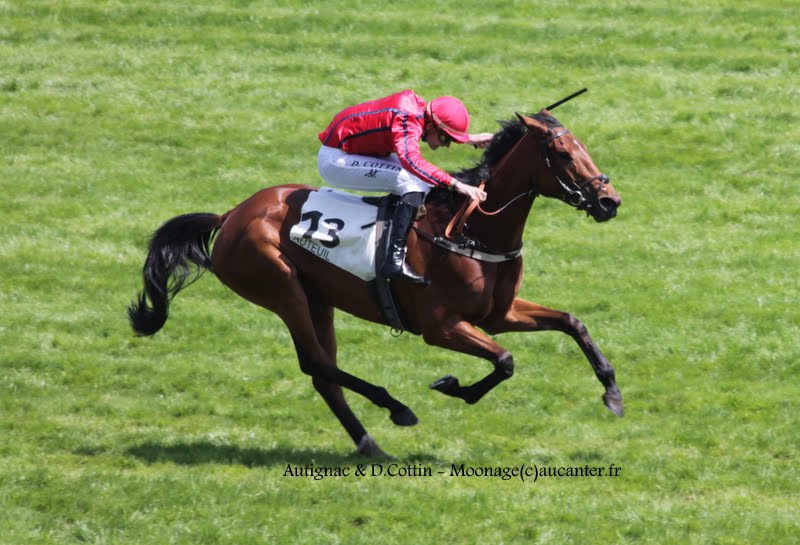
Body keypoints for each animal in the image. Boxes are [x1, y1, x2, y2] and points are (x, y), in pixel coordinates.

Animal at [126, 106, 624, 454]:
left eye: (583, 147)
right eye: (563, 154)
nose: (609, 201)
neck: (470, 228)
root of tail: (230, 215)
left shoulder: (499, 314)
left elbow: (572, 322)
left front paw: (613, 393)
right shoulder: (441, 327)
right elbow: (504, 360)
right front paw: (455, 388)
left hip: (317, 299)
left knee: (322, 374)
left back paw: (369, 444)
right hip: (282, 289)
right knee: (318, 364)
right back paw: (396, 409)